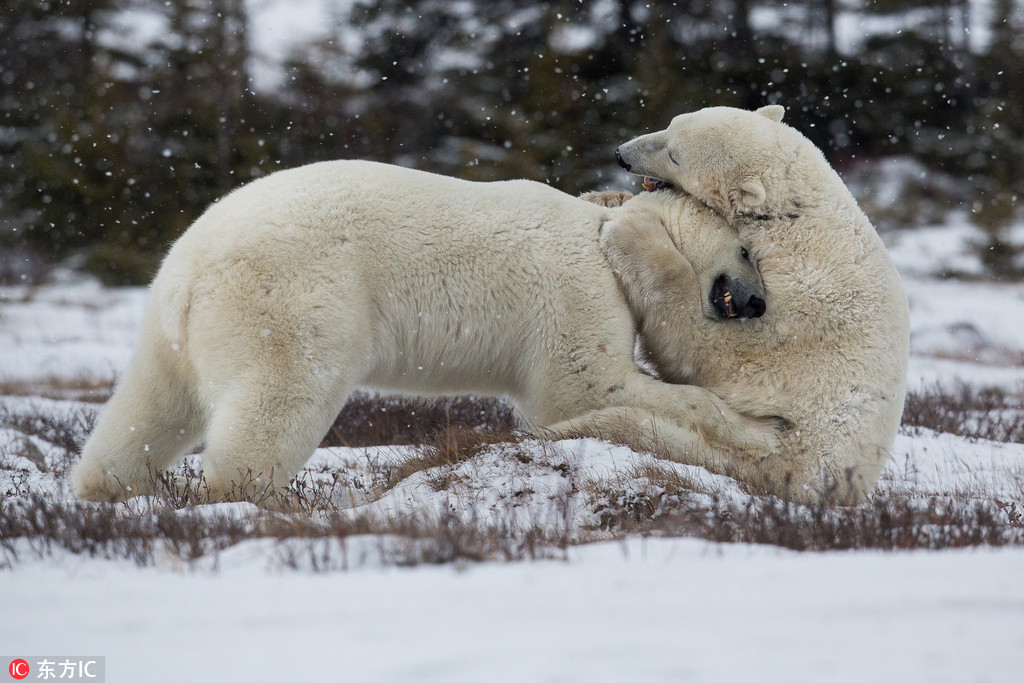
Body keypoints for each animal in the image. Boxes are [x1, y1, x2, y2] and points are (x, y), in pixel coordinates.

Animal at [72, 158, 774, 501]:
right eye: (746, 250)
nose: (759, 303)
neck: (602, 230)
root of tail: (192, 269)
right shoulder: (576, 289)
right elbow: (580, 388)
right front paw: (756, 423)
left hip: (169, 329)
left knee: (149, 406)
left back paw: (104, 489)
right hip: (295, 297)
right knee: (281, 396)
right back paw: (277, 501)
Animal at [569, 104, 913, 505]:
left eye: (675, 155)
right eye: (669, 125)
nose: (621, 155)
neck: (794, 219)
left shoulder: (803, 306)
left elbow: (710, 349)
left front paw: (630, 231)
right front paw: (603, 197)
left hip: (790, 447)